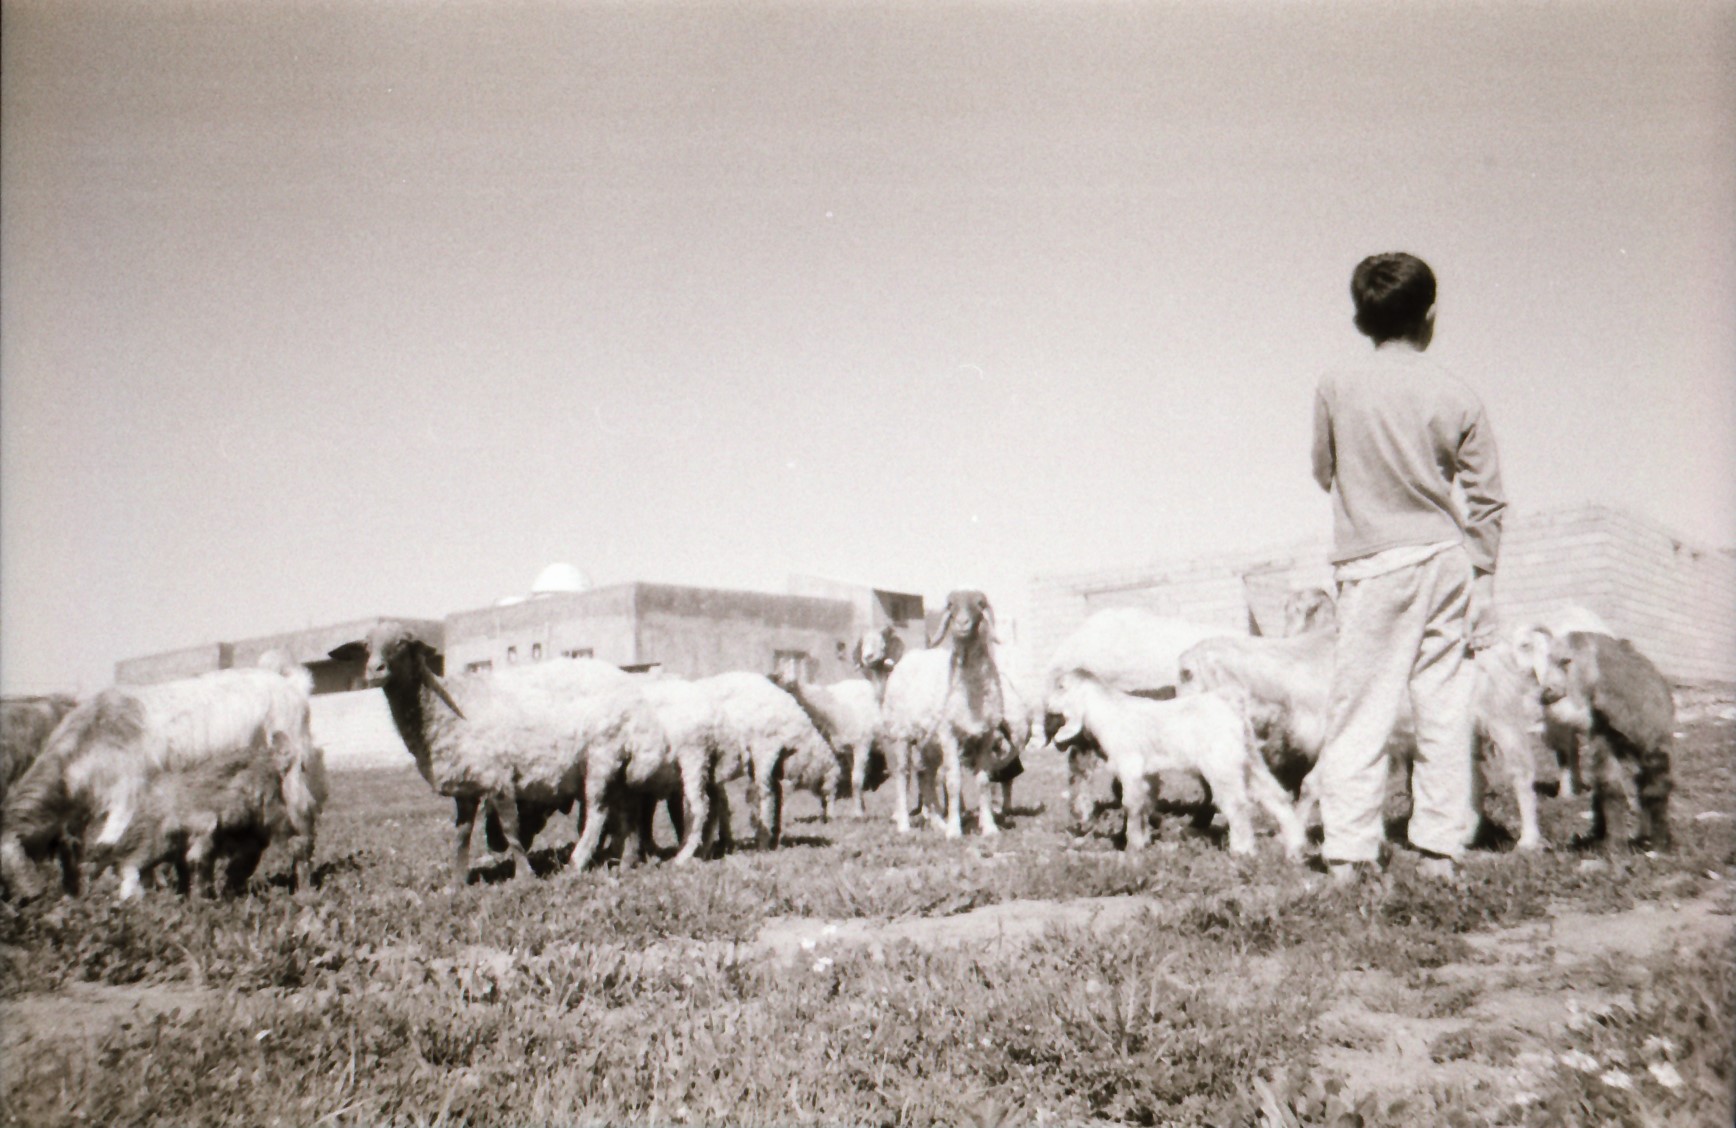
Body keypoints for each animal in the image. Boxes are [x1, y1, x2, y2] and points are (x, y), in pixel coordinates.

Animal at [1041, 666, 1305, 853]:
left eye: (1061, 687)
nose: (1047, 705)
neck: (1108, 711)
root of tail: (1230, 703)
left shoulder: (1130, 767)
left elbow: (1131, 805)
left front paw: (1132, 847)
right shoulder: (1147, 774)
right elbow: (1145, 803)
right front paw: (1144, 840)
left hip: (1222, 766)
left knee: (1237, 805)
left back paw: (1242, 850)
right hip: (1248, 760)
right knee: (1276, 796)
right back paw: (1293, 846)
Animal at [1541, 628, 1673, 846]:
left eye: (1566, 661)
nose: (1545, 694)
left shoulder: (1656, 746)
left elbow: (1656, 788)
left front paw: (1660, 841)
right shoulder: (1605, 740)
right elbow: (1610, 787)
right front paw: (1613, 842)